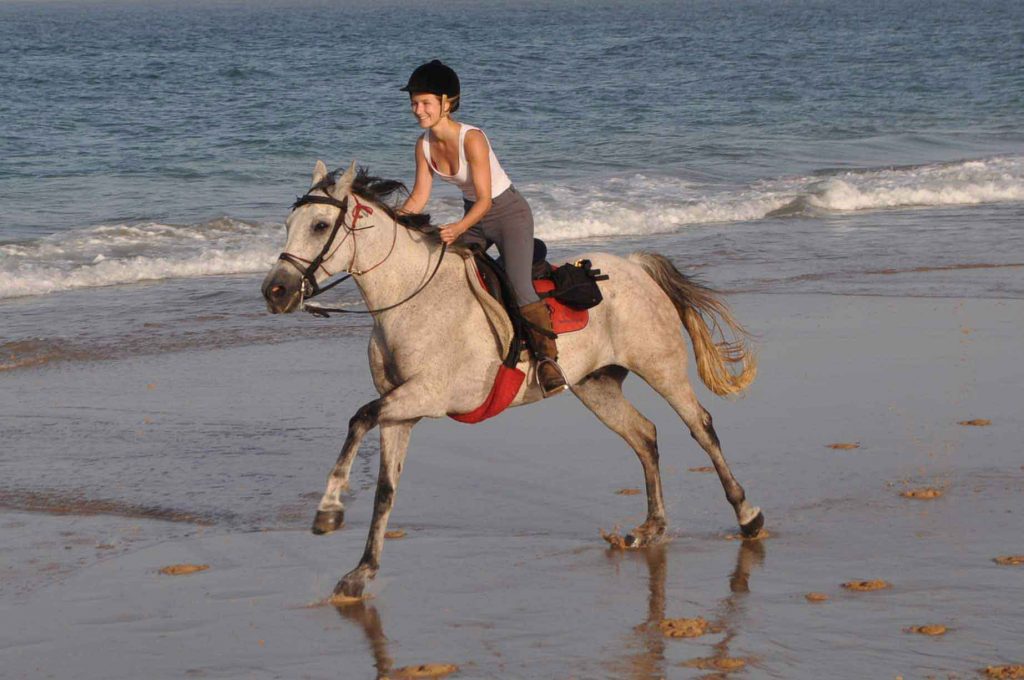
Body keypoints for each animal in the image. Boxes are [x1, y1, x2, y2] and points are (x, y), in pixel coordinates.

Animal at [262, 161, 761, 598]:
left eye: (320, 225)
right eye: (288, 223)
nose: (275, 291)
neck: (410, 299)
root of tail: (636, 266)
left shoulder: (428, 395)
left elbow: (358, 418)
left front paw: (328, 512)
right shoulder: (400, 410)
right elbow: (386, 489)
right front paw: (361, 572)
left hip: (661, 366)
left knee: (700, 426)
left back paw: (748, 516)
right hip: (596, 385)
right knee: (644, 435)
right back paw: (649, 529)